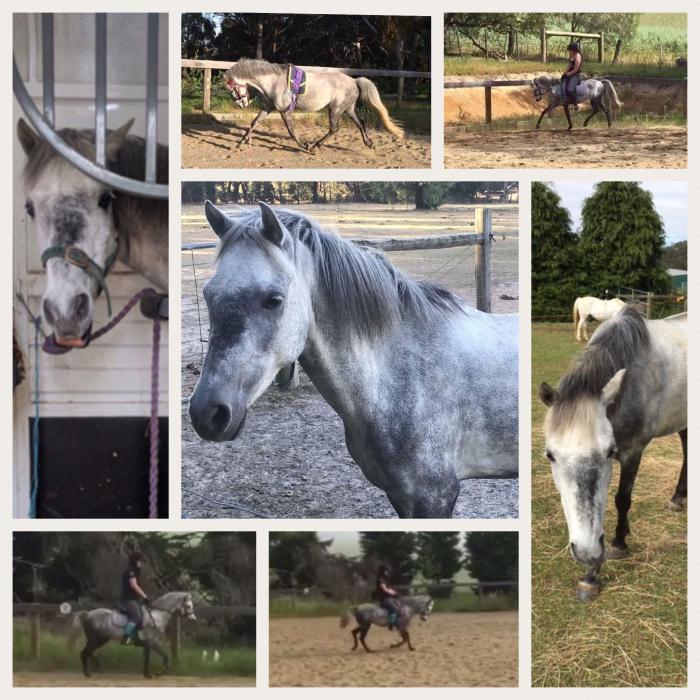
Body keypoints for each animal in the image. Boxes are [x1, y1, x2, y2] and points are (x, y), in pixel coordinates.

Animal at [187, 203, 519, 518]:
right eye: (208, 295)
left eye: (274, 300)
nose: (207, 413)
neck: (397, 376)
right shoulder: (400, 496)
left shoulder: (436, 496)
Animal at [222, 58, 404, 153]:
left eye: (232, 88)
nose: (242, 104)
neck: (273, 82)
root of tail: (354, 81)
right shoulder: (268, 108)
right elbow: (254, 123)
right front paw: (239, 144)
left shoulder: (284, 111)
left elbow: (292, 131)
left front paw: (305, 145)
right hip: (348, 109)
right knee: (361, 123)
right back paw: (369, 143)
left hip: (335, 109)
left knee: (334, 128)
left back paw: (316, 146)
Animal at [538, 307, 687, 602]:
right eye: (550, 455)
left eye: (610, 452)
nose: (586, 552)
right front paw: (590, 574)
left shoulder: (632, 453)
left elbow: (621, 499)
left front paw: (615, 547)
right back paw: (677, 499)